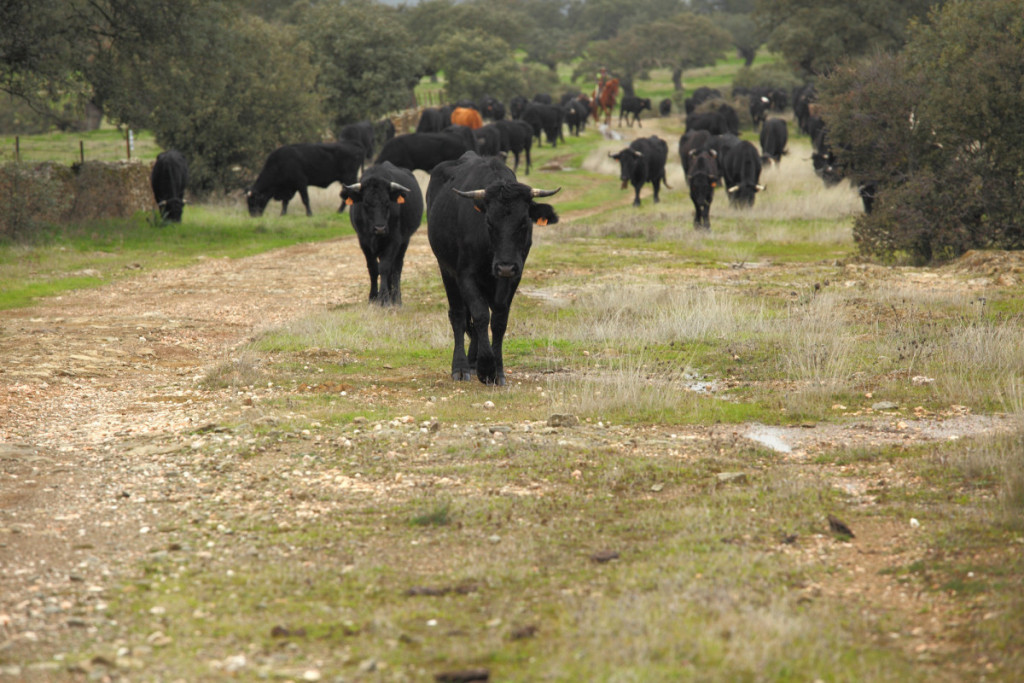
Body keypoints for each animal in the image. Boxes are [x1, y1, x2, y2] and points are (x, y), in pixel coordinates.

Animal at [339, 161, 423, 305]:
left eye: (387, 203)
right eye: (366, 203)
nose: (380, 228)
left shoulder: (394, 240)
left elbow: (384, 268)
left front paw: (384, 299)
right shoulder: (364, 242)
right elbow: (373, 268)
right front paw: (373, 298)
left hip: (404, 242)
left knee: (396, 268)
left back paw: (396, 299)